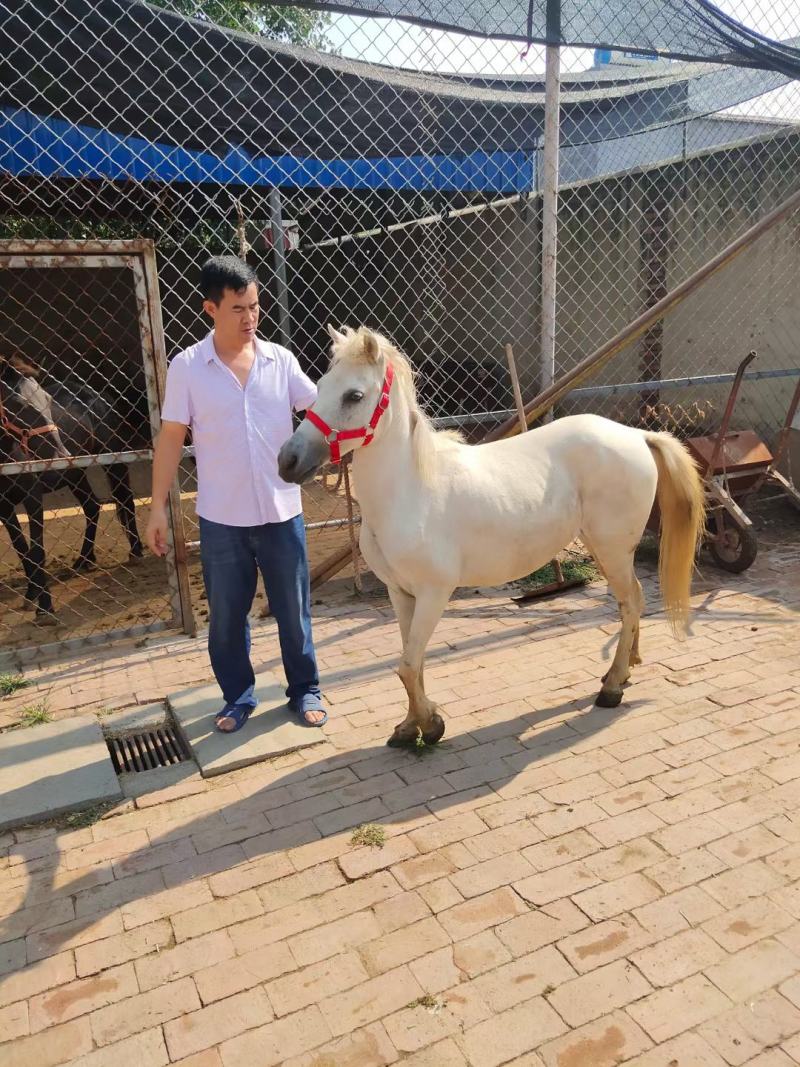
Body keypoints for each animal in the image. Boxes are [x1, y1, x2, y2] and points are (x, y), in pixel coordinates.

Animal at [0, 355, 143, 623]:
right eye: (18, 403)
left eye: (47, 399)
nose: (61, 454)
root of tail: (96, 393)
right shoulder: (3, 508)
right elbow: (22, 549)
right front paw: (32, 593)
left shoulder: (33, 499)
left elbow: (37, 551)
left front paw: (44, 606)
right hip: (75, 474)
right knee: (92, 507)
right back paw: (84, 559)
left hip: (112, 460)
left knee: (125, 499)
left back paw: (136, 551)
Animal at [278, 325, 705, 747]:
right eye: (320, 386)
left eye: (354, 395)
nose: (288, 461)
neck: (410, 489)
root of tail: (637, 435)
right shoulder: (400, 593)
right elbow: (412, 663)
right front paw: (409, 727)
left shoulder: (434, 593)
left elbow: (408, 665)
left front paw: (431, 725)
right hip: (604, 549)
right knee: (631, 600)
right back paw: (626, 668)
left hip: (613, 550)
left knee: (631, 603)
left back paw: (612, 688)